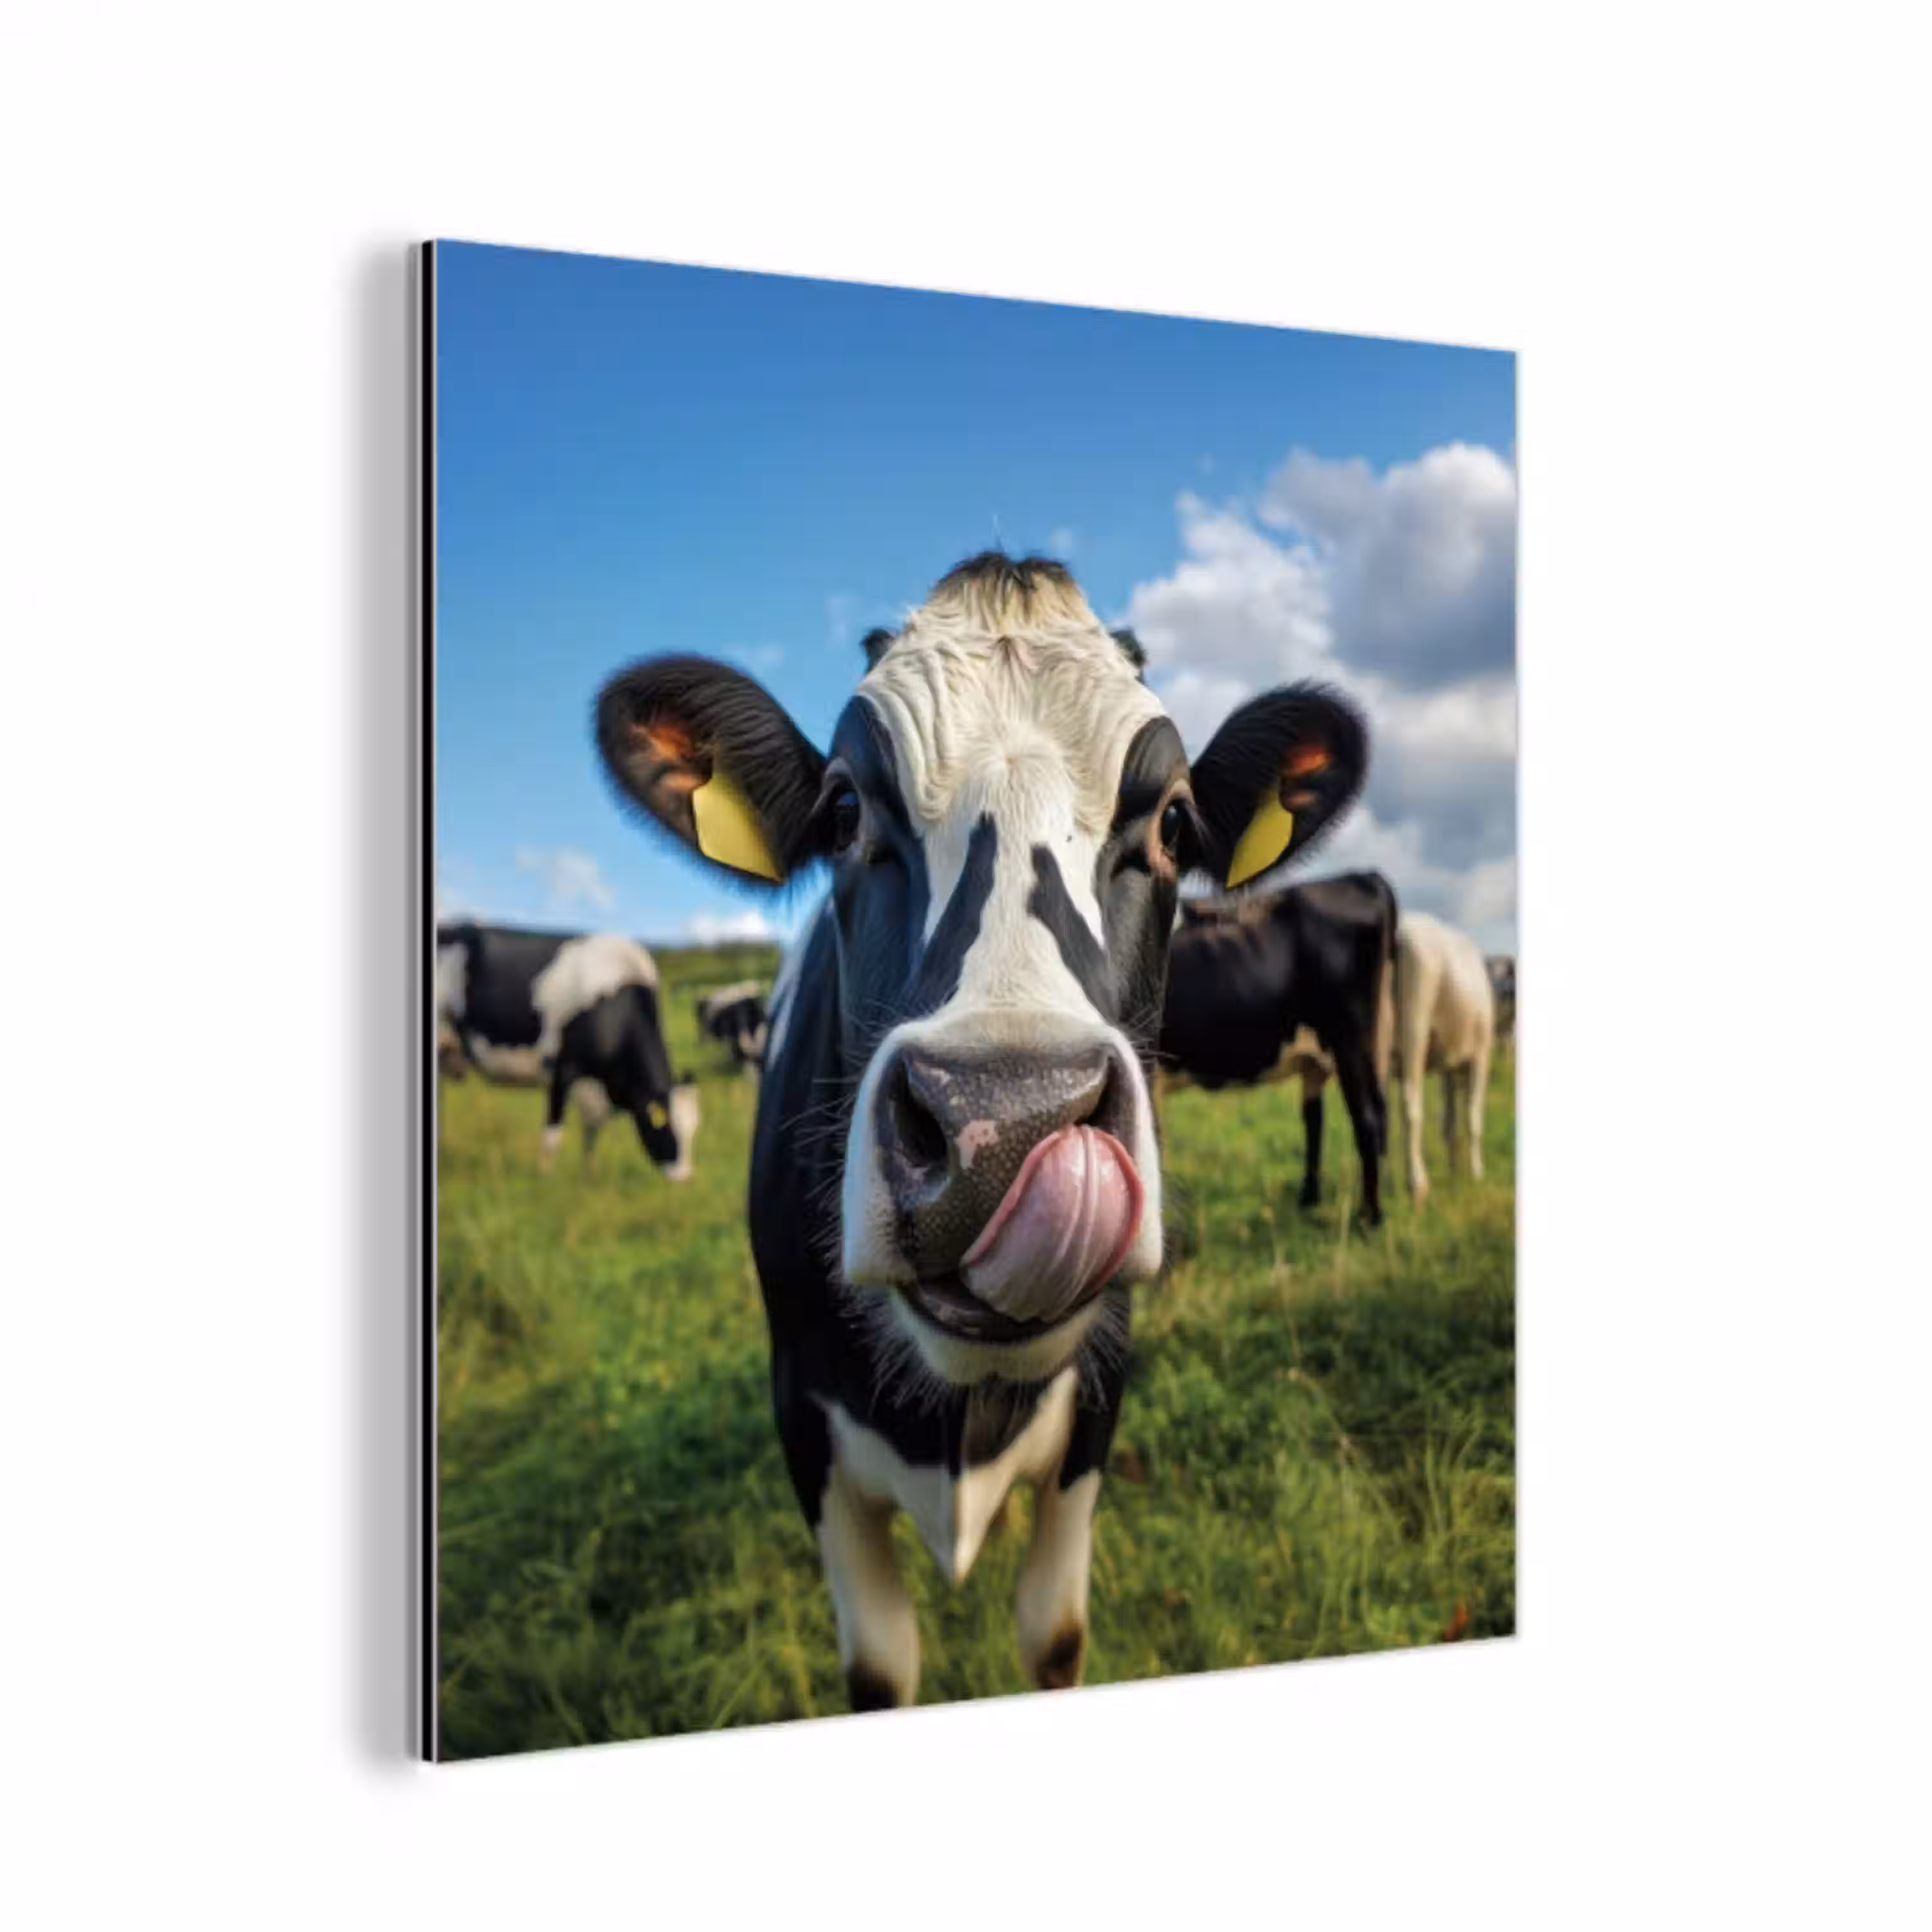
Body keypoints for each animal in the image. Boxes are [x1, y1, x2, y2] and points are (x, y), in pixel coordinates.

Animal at [435, 921, 699, 1178]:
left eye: (693, 1130)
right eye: (665, 1127)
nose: (684, 1178)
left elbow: (591, 1135)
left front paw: (589, 1175)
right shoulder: (563, 1070)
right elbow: (553, 1135)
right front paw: (545, 1177)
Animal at [1158, 872, 1398, 1222]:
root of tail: (1362, 877)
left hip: (1350, 1038)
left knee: (1366, 1118)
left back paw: (1370, 1218)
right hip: (1352, 1047)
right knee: (1326, 1119)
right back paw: (1311, 1201)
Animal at [1392, 911, 1497, 1205]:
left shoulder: (1449, 1066)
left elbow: (1449, 1123)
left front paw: (1454, 1171)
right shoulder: (1481, 1057)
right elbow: (1473, 1118)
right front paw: (1476, 1173)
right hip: (1414, 1022)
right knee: (1410, 1102)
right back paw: (1416, 1184)